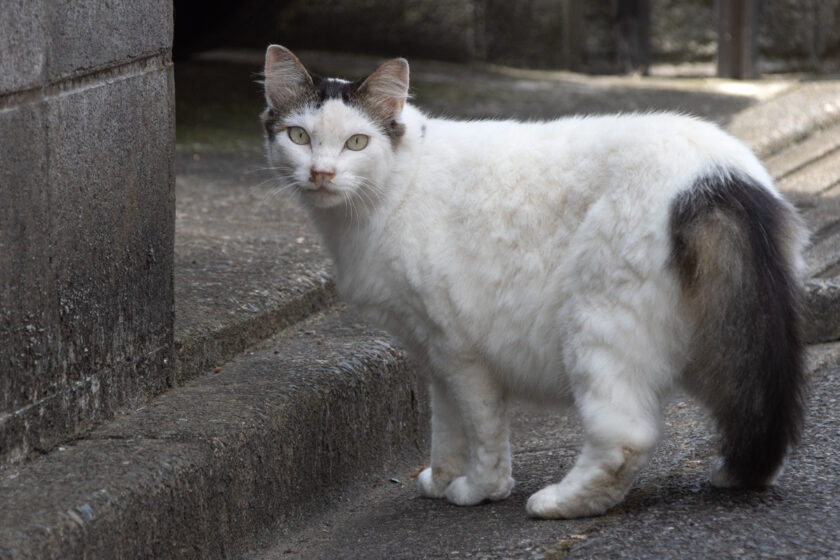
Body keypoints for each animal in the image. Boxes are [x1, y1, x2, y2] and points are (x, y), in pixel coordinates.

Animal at [260, 46, 808, 520]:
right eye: (299, 137)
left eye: (356, 142)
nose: (322, 173)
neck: (395, 183)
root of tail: (715, 177)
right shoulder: (431, 350)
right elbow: (446, 428)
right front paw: (442, 479)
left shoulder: (459, 350)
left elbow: (482, 432)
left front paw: (481, 490)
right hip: (728, 334)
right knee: (752, 410)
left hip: (596, 327)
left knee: (626, 439)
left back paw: (559, 503)